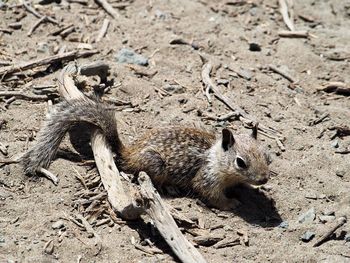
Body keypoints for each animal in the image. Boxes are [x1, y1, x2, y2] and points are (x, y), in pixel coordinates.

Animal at [21, 97, 270, 210]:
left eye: (268, 156)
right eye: (240, 162)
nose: (264, 179)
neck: (217, 157)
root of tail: (129, 151)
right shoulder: (207, 179)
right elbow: (211, 195)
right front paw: (232, 203)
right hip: (155, 163)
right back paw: (168, 187)